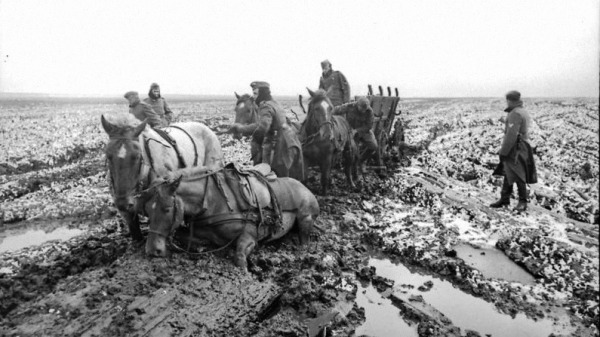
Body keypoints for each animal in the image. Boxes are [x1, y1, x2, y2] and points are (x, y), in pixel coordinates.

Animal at [141, 164, 318, 272]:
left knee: (305, 239)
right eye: (147, 211)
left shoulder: (250, 236)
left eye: (167, 209)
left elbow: (239, 257)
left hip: (305, 218)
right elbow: (185, 236)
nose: (152, 251)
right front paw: (201, 246)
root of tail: (304, 186)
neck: (213, 201)